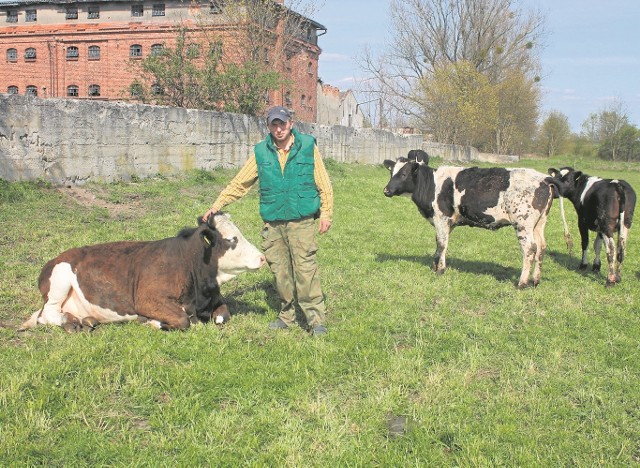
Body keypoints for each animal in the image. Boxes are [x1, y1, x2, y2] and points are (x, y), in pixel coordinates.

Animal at [19, 214, 264, 330]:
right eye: (232, 240)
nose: (262, 257)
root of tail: (56, 258)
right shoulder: (147, 300)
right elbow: (184, 320)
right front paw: (153, 322)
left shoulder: (216, 301)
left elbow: (223, 315)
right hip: (59, 281)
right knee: (47, 314)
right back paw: (68, 322)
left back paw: (82, 320)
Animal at [384, 152, 556, 288]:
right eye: (391, 173)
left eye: (403, 174)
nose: (386, 190)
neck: (431, 185)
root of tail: (544, 178)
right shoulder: (447, 222)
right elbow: (440, 243)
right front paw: (435, 267)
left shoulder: (441, 217)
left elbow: (442, 244)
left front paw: (440, 270)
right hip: (539, 224)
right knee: (541, 248)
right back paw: (535, 280)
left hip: (522, 224)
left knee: (529, 250)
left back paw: (522, 283)